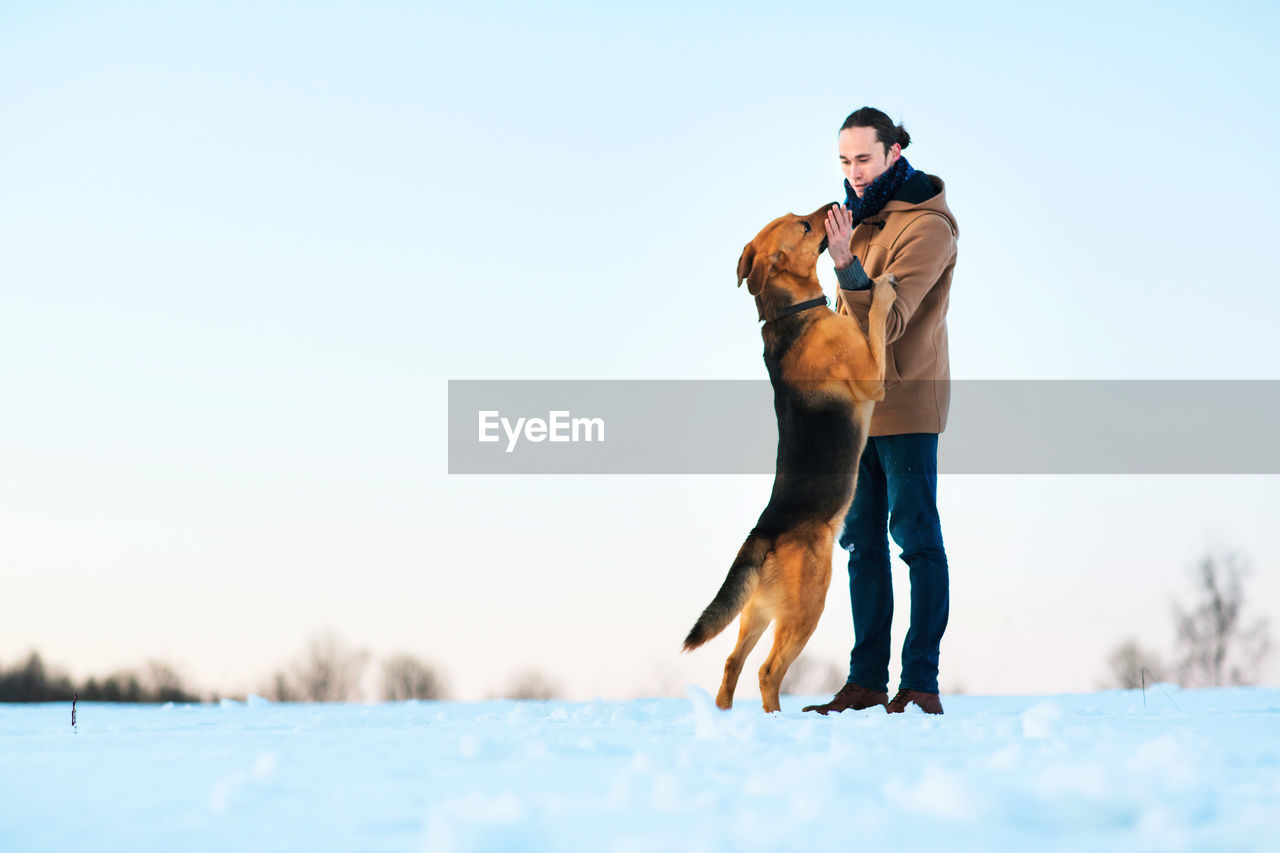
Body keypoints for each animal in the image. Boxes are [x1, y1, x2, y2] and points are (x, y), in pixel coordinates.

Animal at [680, 204, 890, 712]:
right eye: (805, 226)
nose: (835, 206)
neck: (793, 312)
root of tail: (765, 532)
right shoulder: (872, 377)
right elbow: (876, 317)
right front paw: (885, 288)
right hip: (808, 605)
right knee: (767, 671)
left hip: (756, 611)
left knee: (731, 664)